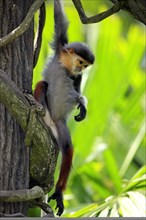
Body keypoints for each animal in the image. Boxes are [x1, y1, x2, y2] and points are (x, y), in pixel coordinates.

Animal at [33, 0, 94, 217]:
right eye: (81, 62)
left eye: (85, 66)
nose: (80, 68)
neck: (67, 66)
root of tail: (50, 122)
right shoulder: (60, 46)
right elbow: (59, 18)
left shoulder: (77, 78)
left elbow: (77, 93)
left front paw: (82, 105)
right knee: (42, 84)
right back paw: (38, 106)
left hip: (60, 125)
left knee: (67, 149)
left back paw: (59, 192)